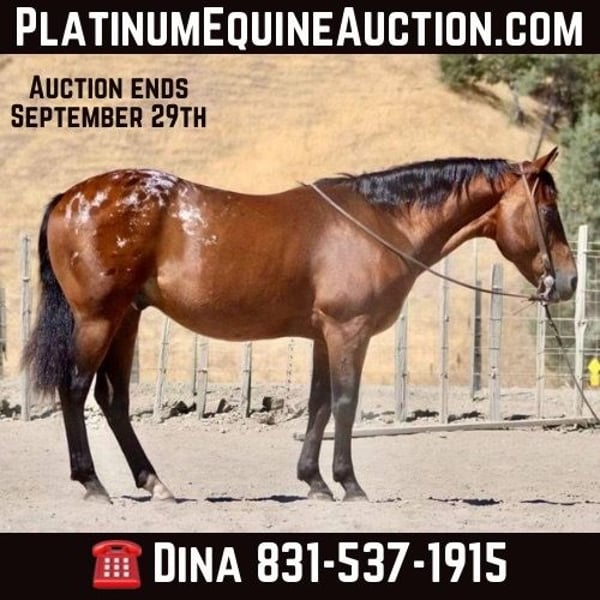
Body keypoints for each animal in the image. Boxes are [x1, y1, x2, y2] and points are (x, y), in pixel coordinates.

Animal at [22, 147, 577, 503]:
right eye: (549, 210)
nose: (568, 281)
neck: (377, 223)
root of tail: (71, 197)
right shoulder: (348, 331)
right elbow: (346, 405)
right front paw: (349, 484)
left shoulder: (322, 336)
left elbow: (319, 405)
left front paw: (314, 481)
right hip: (99, 318)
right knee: (75, 389)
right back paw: (92, 483)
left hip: (127, 318)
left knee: (113, 399)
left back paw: (153, 483)